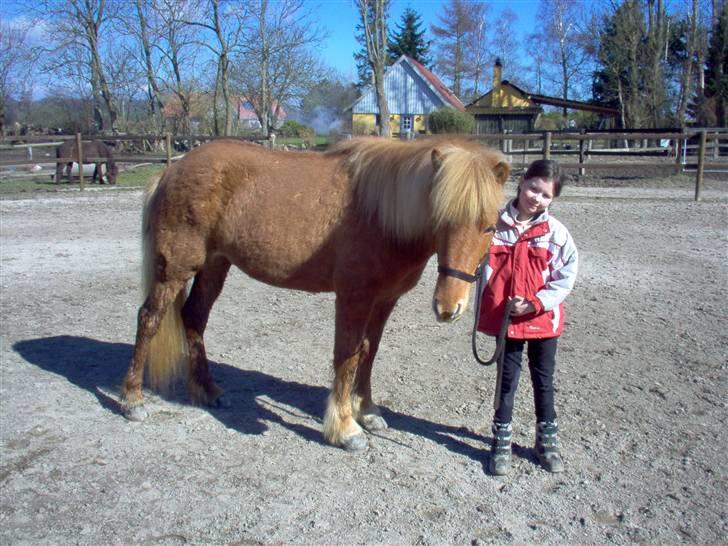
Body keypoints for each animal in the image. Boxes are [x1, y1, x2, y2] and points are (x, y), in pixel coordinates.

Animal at [119, 137, 510, 450]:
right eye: (441, 219)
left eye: (490, 227)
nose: (448, 307)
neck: (381, 216)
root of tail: (172, 170)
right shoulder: (353, 298)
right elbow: (347, 357)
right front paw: (345, 428)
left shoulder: (384, 301)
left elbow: (368, 353)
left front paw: (367, 411)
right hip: (175, 270)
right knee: (149, 319)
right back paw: (132, 399)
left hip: (215, 266)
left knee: (194, 318)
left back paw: (208, 391)